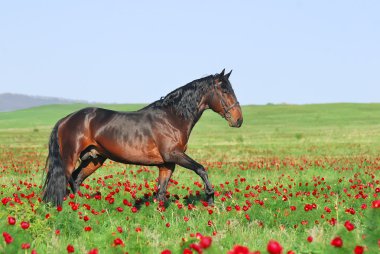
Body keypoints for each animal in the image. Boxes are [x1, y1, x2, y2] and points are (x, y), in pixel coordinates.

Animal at [42, 69, 243, 206]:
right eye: (225, 91)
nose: (238, 120)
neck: (172, 118)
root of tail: (65, 120)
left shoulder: (167, 164)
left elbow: (161, 193)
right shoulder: (174, 155)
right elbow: (201, 169)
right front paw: (210, 197)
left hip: (95, 159)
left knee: (76, 180)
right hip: (70, 158)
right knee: (64, 181)